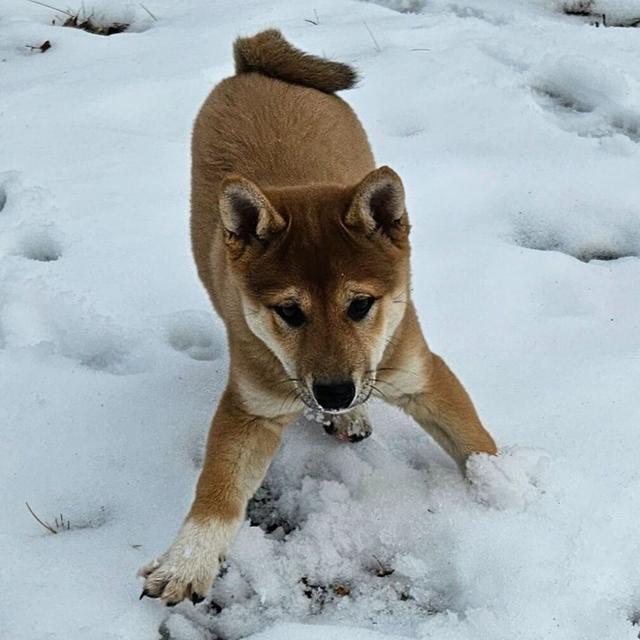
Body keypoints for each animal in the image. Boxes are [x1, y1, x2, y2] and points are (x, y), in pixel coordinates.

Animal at [140, 28, 498, 604]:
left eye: (361, 305)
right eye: (289, 311)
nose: (334, 393)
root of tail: (253, 63)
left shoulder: (419, 372)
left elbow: (474, 442)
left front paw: (513, 493)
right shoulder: (251, 409)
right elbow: (217, 490)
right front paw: (187, 559)